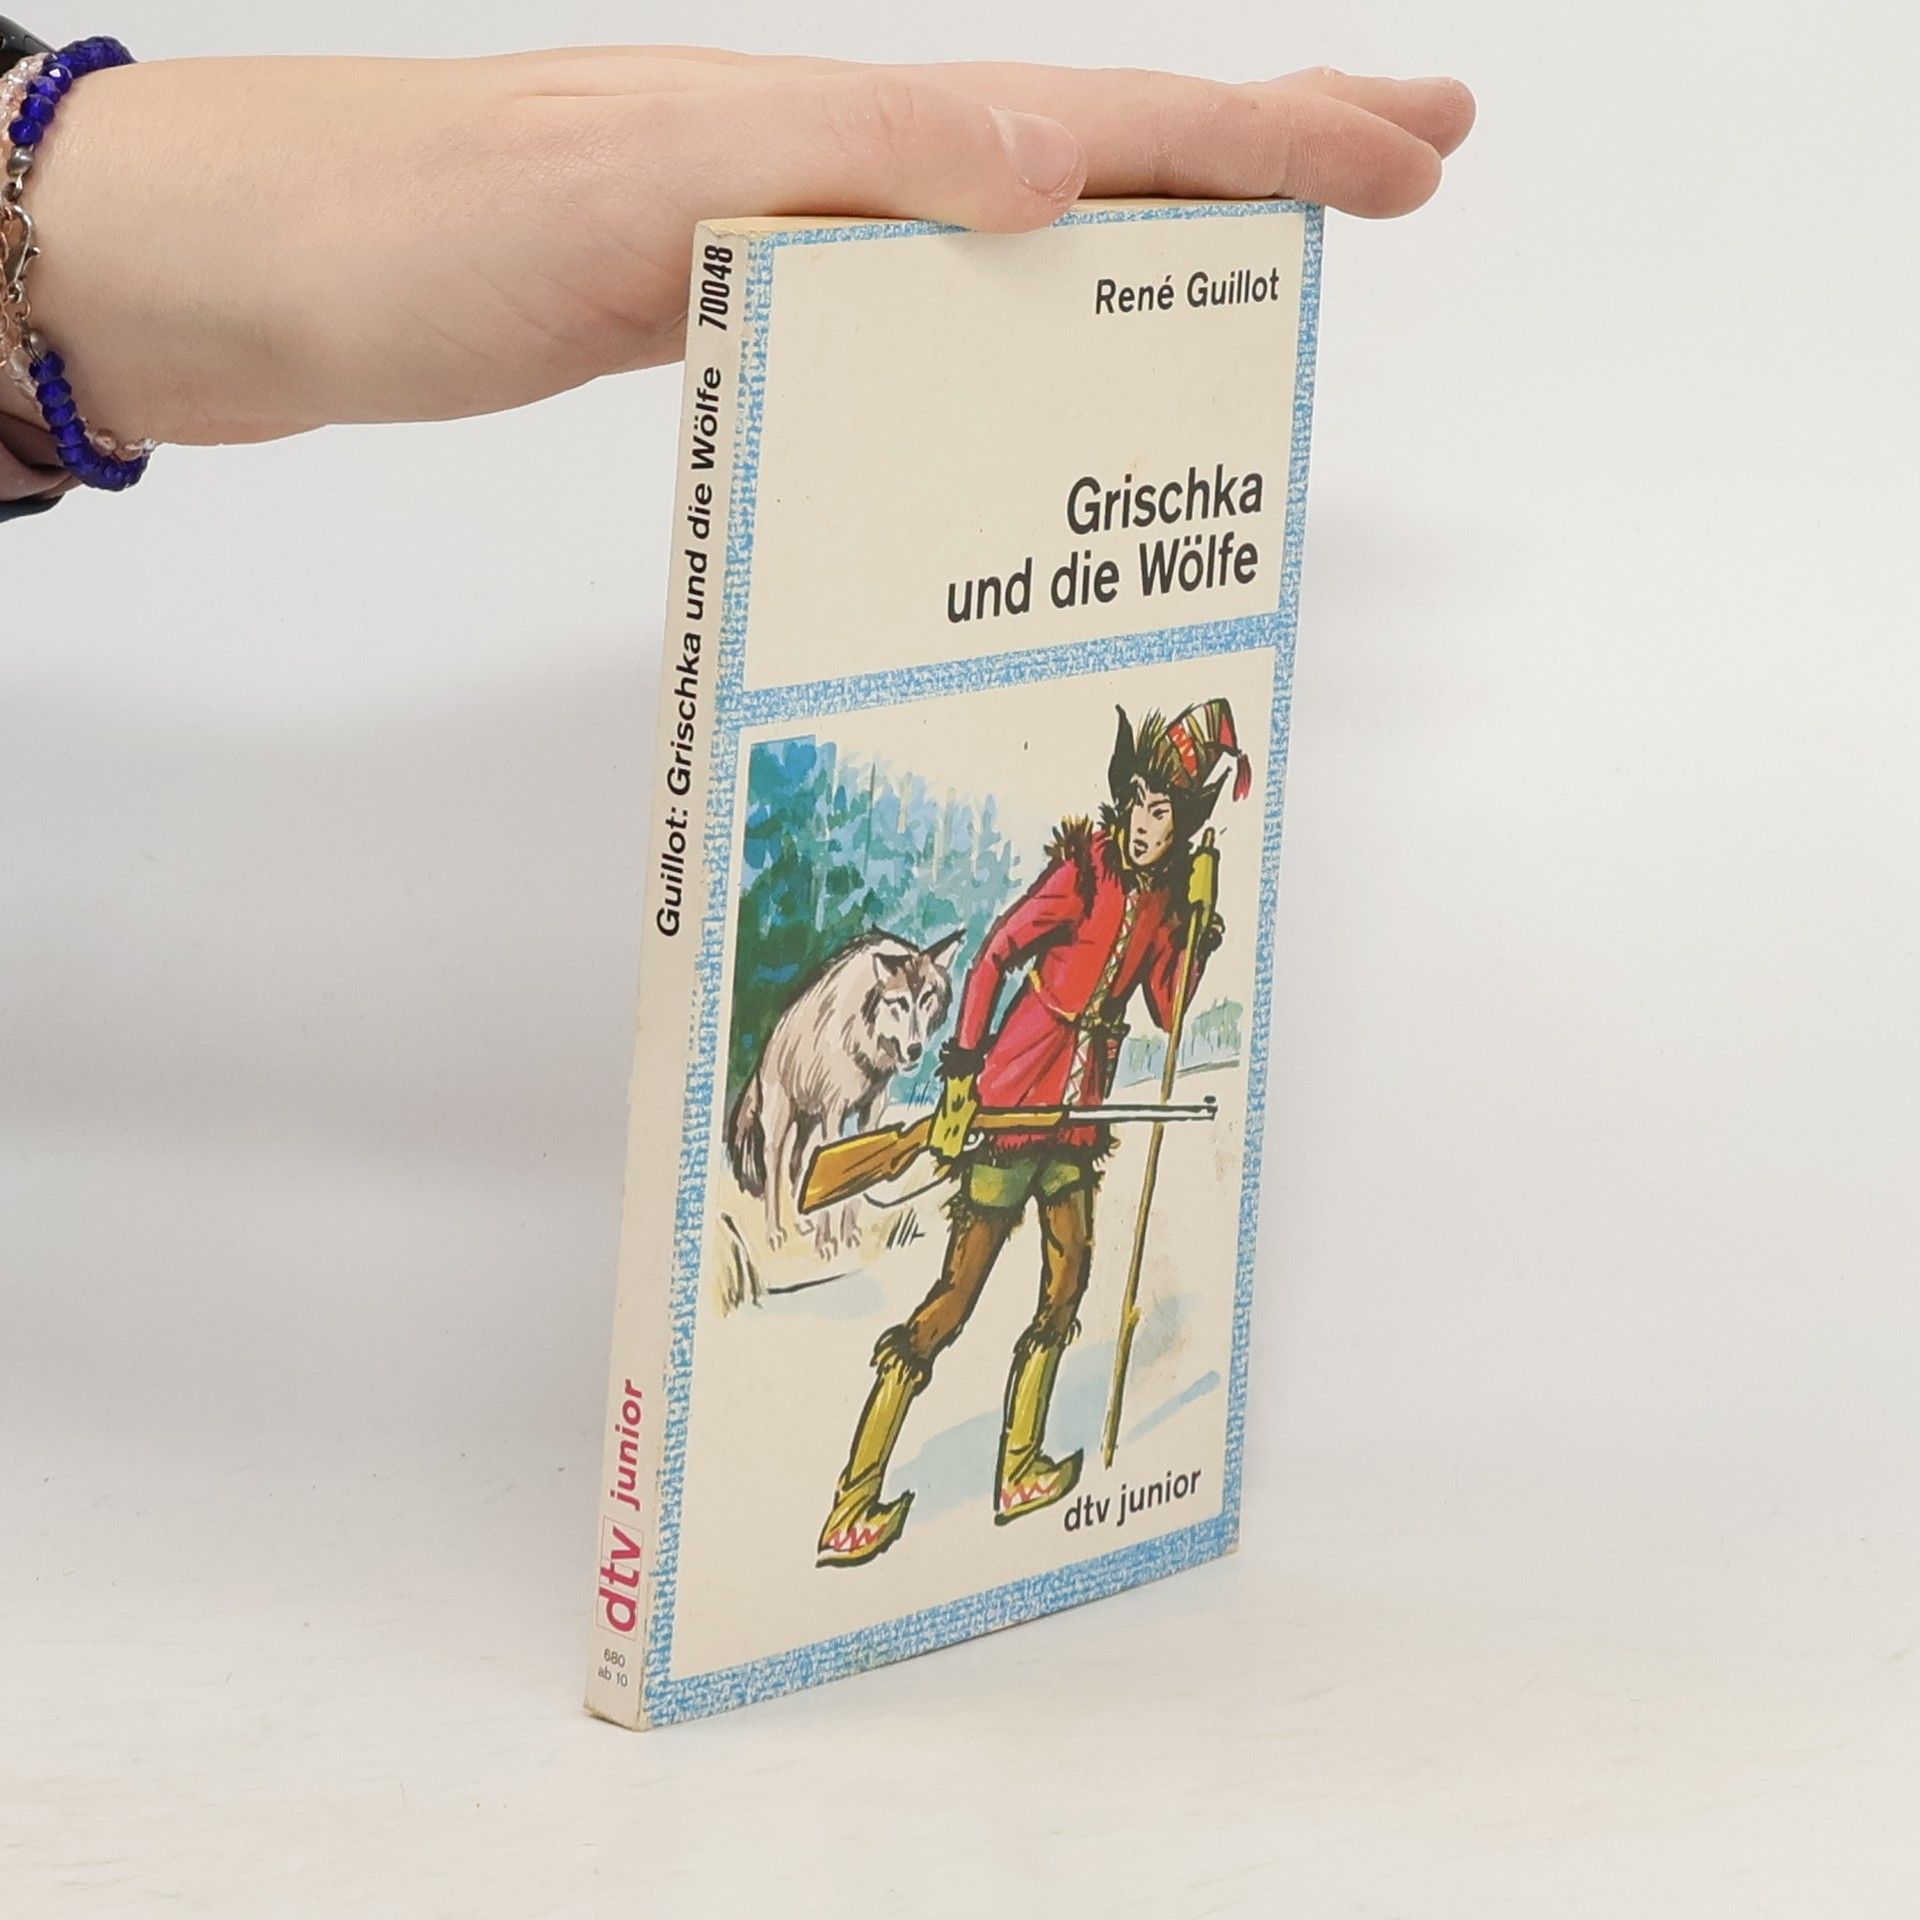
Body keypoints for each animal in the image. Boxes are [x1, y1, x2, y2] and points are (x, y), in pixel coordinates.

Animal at [727, 929, 961, 1259]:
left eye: (926, 998)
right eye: (900, 1002)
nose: (915, 1049)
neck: (863, 1040)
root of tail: (766, 1050)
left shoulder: (871, 1111)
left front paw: (847, 1235)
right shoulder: (833, 1114)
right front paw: (826, 1243)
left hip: (808, 1122)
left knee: (796, 1163)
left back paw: (803, 1222)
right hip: (781, 1122)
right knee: (773, 1168)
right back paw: (775, 1233)